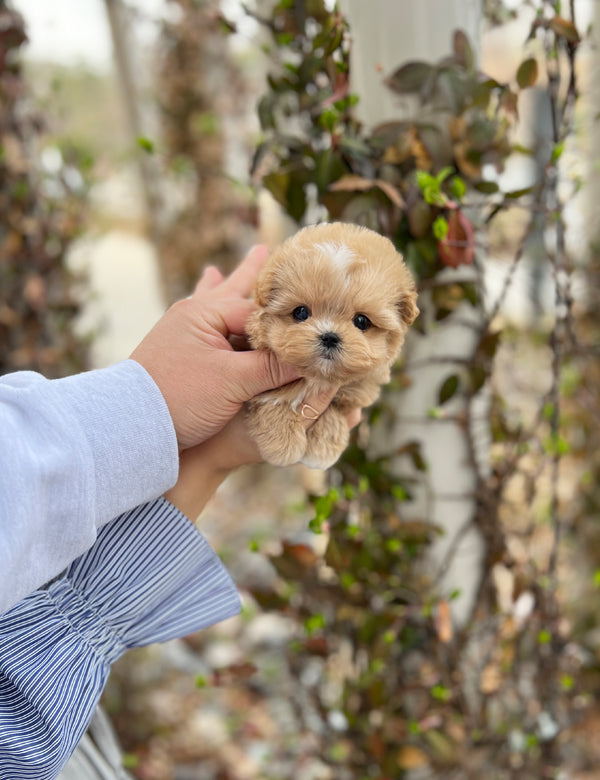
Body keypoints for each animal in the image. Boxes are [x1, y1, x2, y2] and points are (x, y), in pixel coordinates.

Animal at [244, 224, 418, 470]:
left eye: (362, 321)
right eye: (300, 312)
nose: (329, 337)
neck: (320, 377)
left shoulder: (351, 393)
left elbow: (333, 412)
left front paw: (322, 450)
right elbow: (274, 399)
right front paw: (283, 445)